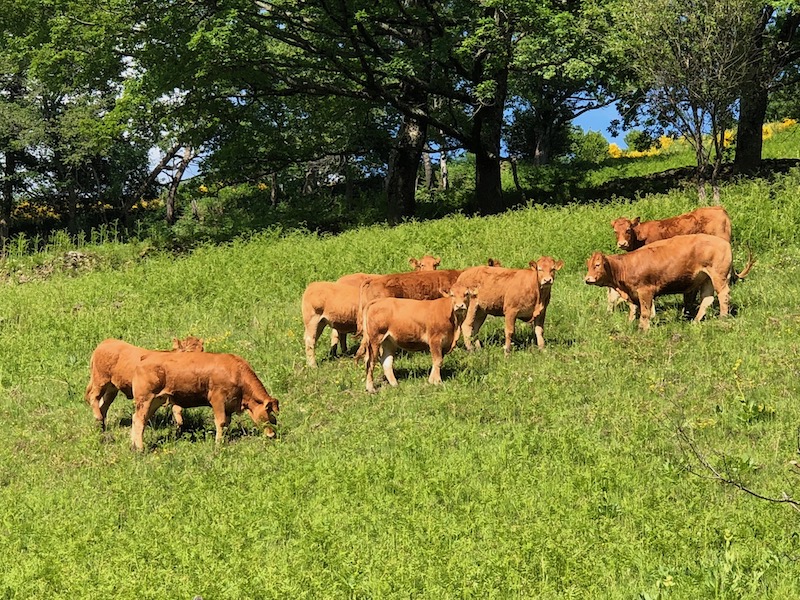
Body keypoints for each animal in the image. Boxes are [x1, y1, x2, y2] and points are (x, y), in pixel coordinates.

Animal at [130, 352, 279, 451]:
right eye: (269, 414)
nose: (272, 435)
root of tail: (146, 356)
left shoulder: (229, 404)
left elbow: (227, 423)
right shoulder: (217, 398)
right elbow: (221, 422)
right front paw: (218, 444)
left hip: (155, 400)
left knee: (137, 419)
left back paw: (133, 445)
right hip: (146, 398)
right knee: (139, 421)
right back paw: (141, 448)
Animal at [584, 233, 754, 331]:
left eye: (597, 265)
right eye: (588, 266)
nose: (587, 279)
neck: (626, 265)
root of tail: (724, 242)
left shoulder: (645, 291)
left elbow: (645, 312)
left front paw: (643, 329)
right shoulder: (632, 294)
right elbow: (635, 310)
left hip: (719, 276)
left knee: (723, 294)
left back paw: (722, 318)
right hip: (706, 279)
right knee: (707, 299)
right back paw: (695, 321)